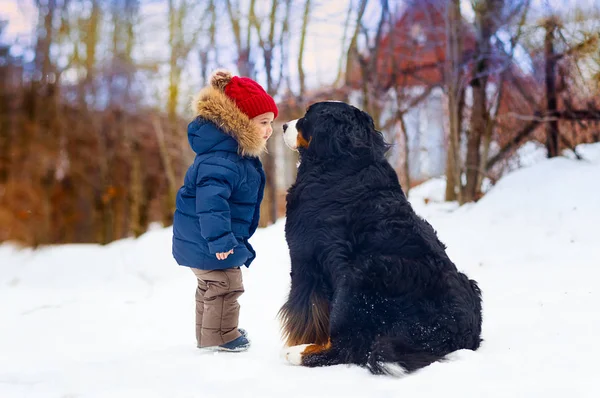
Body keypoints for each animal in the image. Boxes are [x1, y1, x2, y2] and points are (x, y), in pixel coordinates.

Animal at [278, 101, 482, 374]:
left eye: (307, 117)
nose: (284, 125)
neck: (344, 162)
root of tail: (450, 332)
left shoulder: (304, 258)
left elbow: (305, 310)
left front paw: (300, 341)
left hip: (359, 278)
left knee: (347, 347)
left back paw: (297, 353)